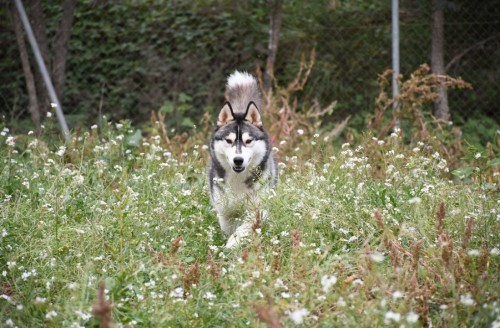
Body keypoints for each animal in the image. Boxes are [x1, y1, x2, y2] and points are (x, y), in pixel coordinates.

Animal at [207, 70, 278, 247]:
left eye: (248, 141)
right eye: (229, 140)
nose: (238, 160)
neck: (238, 180)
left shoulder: (257, 209)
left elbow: (244, 228)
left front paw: (233, 243)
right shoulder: (225, 211)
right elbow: (228, 226)